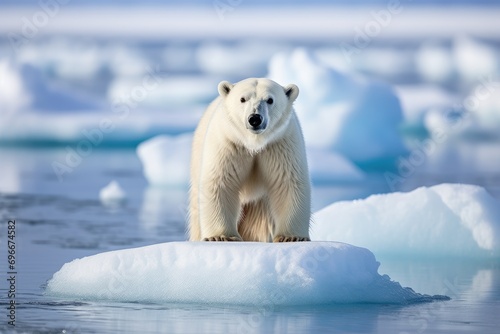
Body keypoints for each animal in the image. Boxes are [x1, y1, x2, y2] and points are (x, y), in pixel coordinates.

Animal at [188, 77, 310, 241]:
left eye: (270, 100)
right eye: (242, 99)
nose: (255, 118)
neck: (253, 143)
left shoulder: (280, 144)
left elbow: (288, 183)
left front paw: (290, 237)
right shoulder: (228, 144)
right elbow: (219, 182)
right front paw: (220, 236)